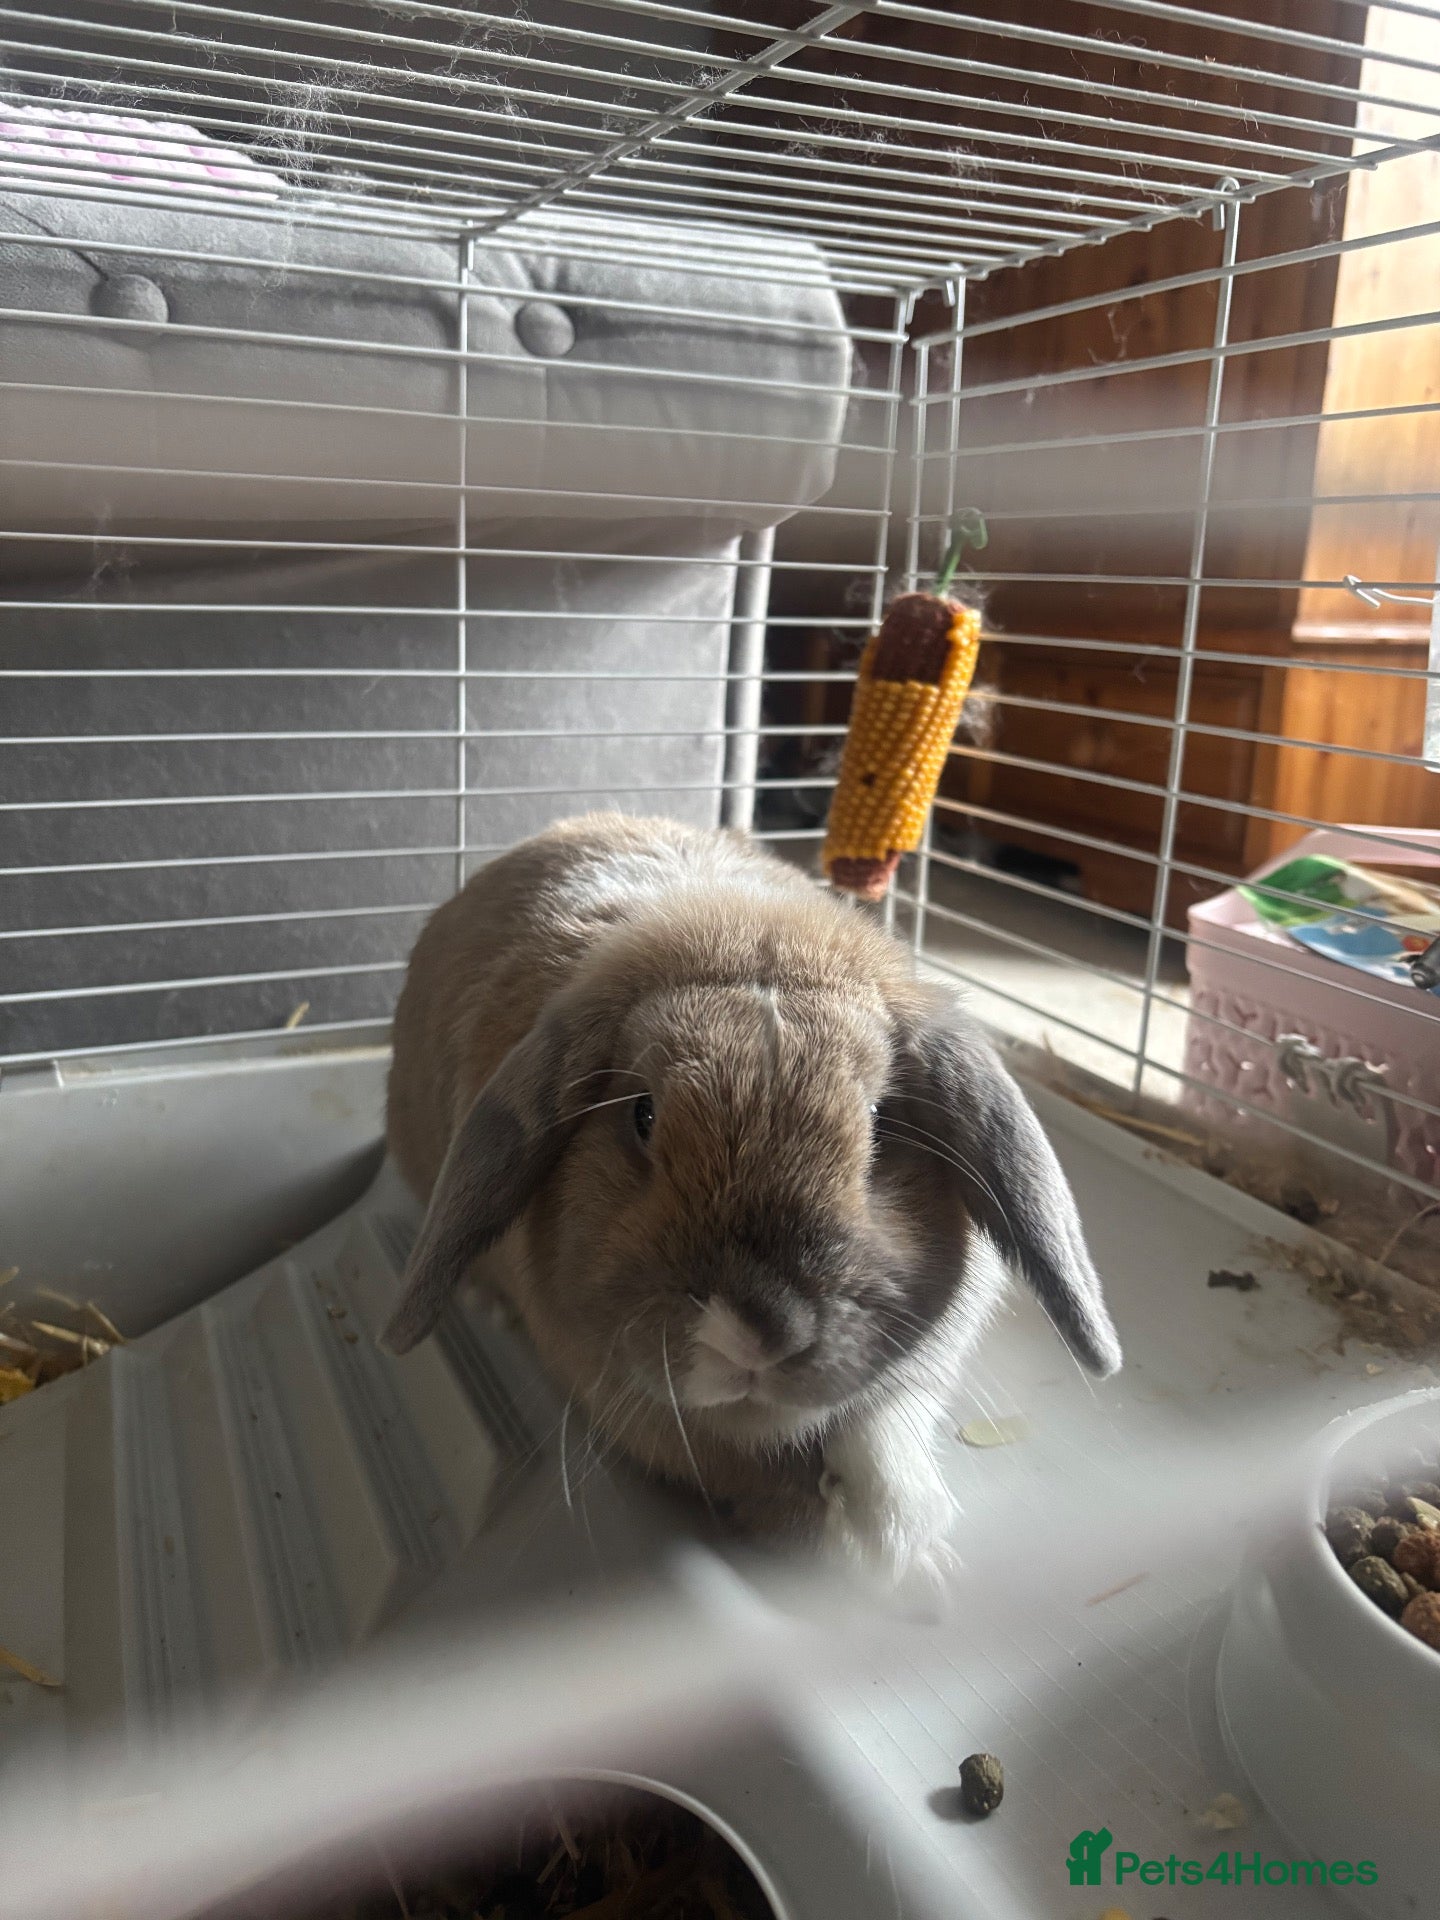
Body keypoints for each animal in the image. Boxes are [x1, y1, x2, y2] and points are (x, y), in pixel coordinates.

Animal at [382, 812, 1120, 1584]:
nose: (757, 1330)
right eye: (642, 1115)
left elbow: (881, 1439)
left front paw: (908, 1549)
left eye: (881, 1124)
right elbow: (760, 1484)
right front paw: (851, 1549)